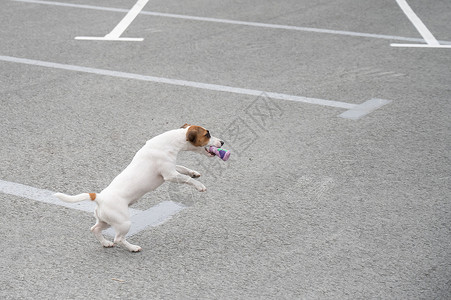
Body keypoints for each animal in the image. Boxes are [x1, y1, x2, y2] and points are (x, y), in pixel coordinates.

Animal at [54, 123, 224, 252]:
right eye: (207, 134)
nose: (222, 142)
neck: (171, 141)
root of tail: (99, 197)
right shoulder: (169, 175)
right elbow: (186, 179)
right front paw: (199, 186)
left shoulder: (172, 168)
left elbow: (183, 168)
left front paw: (194, 173)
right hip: (123, 223)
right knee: (118, 238)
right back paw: (132, 247)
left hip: (106, 221)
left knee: (94, 229)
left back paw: (105, 243)